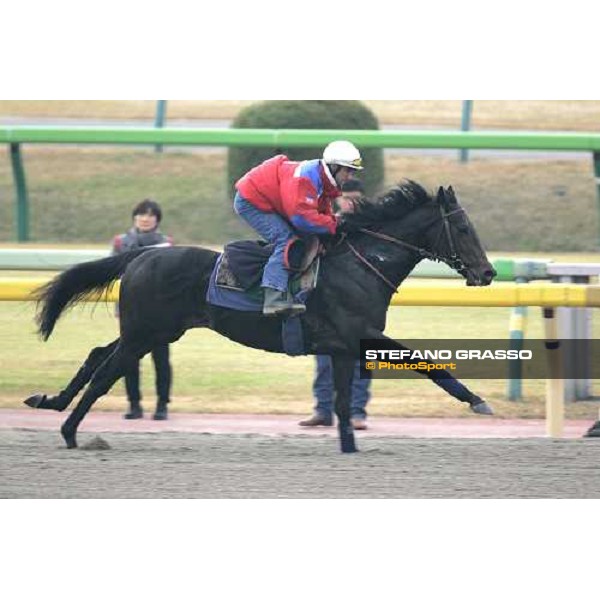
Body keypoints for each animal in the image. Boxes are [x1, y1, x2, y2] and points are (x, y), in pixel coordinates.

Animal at [25, 180, 496, 452]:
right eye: (464, 228)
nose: (489, 273)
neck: (361, 263)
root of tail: (141, 253)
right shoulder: (361, 335)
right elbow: (424, 362)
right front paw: (477, 400)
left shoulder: (344, 347)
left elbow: (344, 400)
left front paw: (348, 446)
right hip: (145, 333)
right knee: (106, 372)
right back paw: (70, 431)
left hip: (152, 332)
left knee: (97, 354)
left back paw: (48, 401)